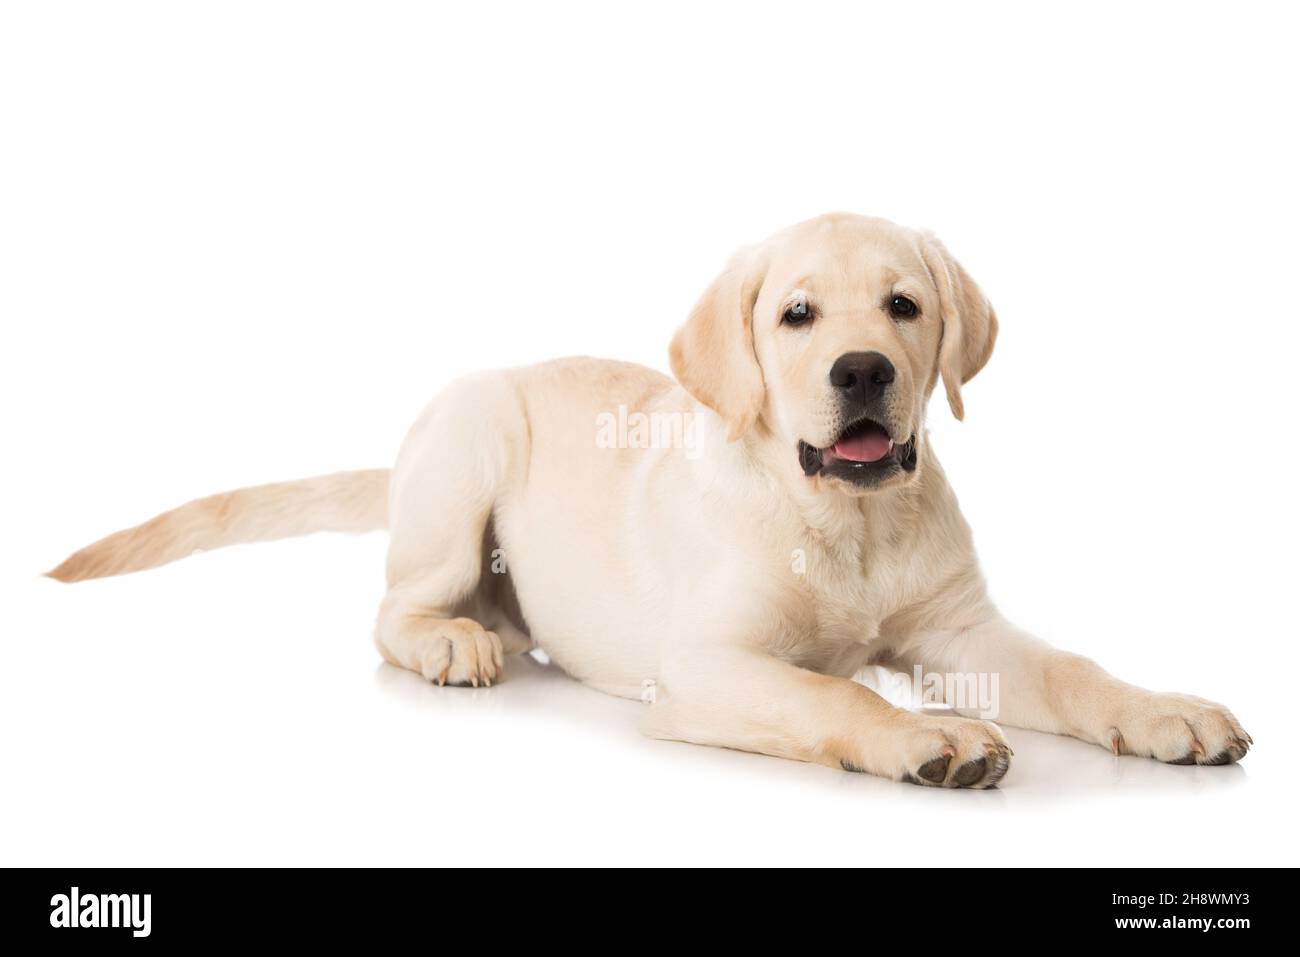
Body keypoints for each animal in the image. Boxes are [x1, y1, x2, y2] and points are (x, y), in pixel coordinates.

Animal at [48, 214, 1248, 785]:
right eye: (797, 315)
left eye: (904, 306)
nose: (863, 370)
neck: (846, 520)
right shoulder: (707, 666)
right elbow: (833, 693)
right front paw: (927, 735)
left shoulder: (962, 629)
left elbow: (1074, 668)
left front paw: (1165, 710)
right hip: (472, 437)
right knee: (393, 607)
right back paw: (451, 641)